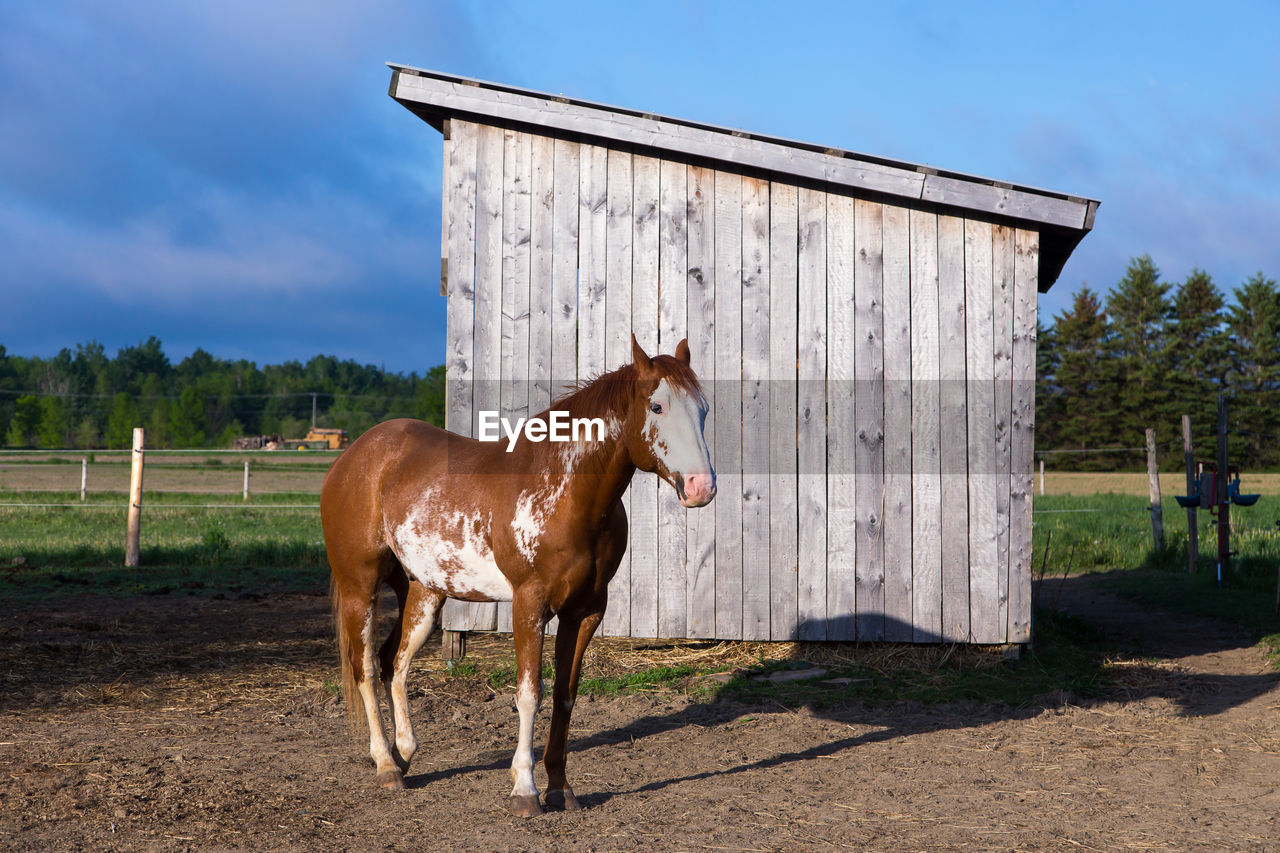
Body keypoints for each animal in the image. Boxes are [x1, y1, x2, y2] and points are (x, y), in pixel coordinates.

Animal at [320, 330, 716, 809]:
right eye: (657, 406)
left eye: (703, 409)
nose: (701, 487)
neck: (565, 490)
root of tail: (355, 455)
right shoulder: (529, 604)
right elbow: (529, 694)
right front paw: (525, 789)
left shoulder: (586, 610)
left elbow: (565, 694)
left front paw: (560, 787)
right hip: (360, 588)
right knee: (365, 667)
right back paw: (385, 764)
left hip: (423, 591)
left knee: (394, 663)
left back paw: (405, 753)